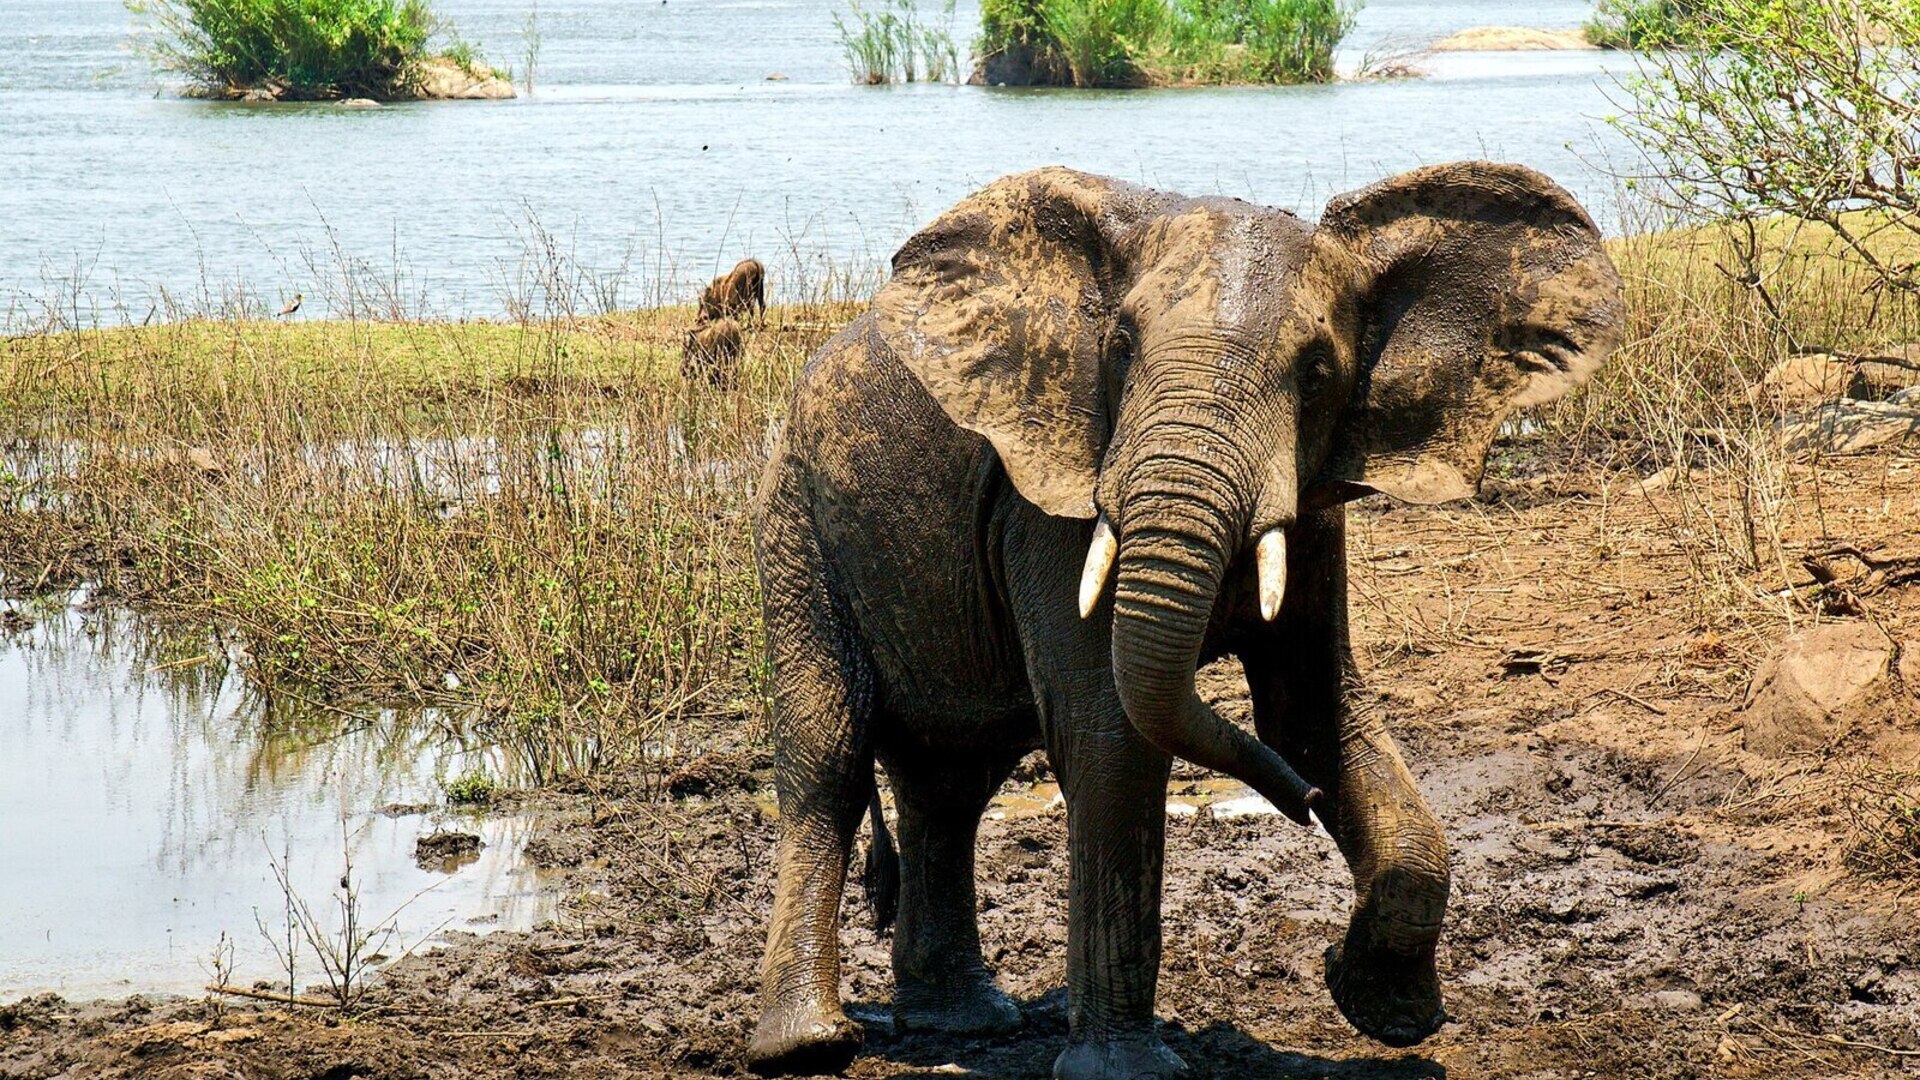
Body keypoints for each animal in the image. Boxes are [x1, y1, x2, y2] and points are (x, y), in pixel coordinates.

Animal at [746, 164, 1622, 1079]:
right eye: (1121, 348)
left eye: (1318, 373)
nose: (1306, 802)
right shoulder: (1057, 498)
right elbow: (1112, 737)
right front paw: (1128, 1073)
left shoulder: (1311, 508)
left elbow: (1313, 713)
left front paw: (1382, 1007)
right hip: (794, 524)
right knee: (829, 766)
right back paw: (808, 1045)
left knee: (950, 784)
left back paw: (965, 1025)